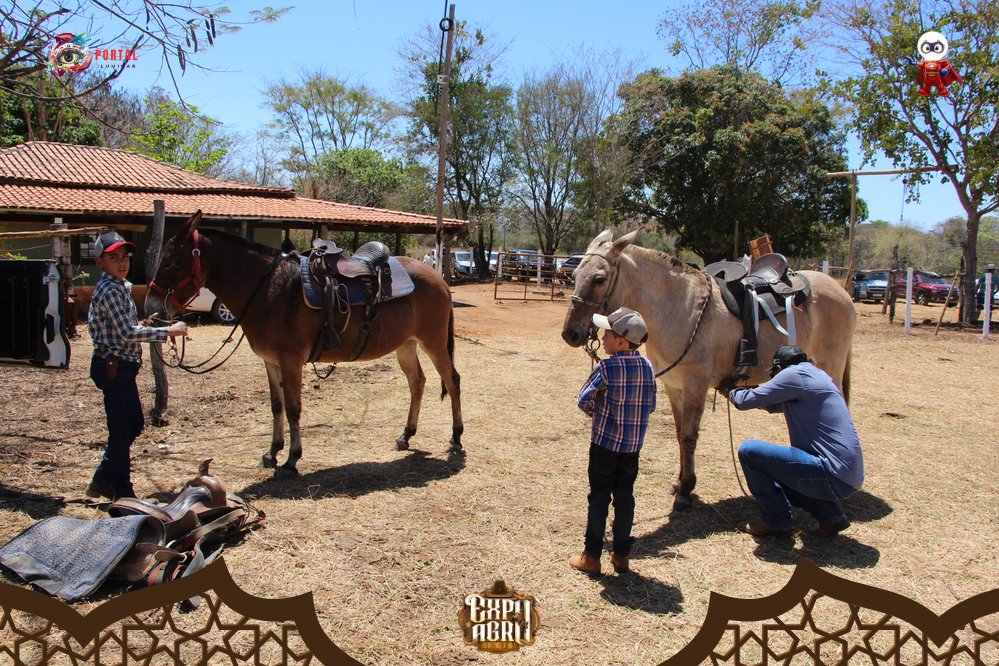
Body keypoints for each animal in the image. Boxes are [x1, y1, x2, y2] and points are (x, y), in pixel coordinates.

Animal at [144, 211, 463, 478]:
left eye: (169, 261)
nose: (151, 306)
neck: (270, 289)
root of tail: (438, 277)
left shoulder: (291, 360)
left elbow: (294, 407)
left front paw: (291, 460)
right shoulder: (270, 361)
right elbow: (276, 406)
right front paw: (272, 453)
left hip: (433, 342)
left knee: (452, 380)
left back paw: (456, 437)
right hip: (406, 345)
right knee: (417, 382)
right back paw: (406, 435)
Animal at [561, 229, 855, 511]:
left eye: (599, 279)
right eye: (574, 275)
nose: (570, 334)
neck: (678, 309)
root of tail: (840, 291)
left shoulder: (695, 387)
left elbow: (690, 437)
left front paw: (686, 490)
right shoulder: (674, 386)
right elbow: (680, 434)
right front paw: (679, 482)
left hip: (830, 367)